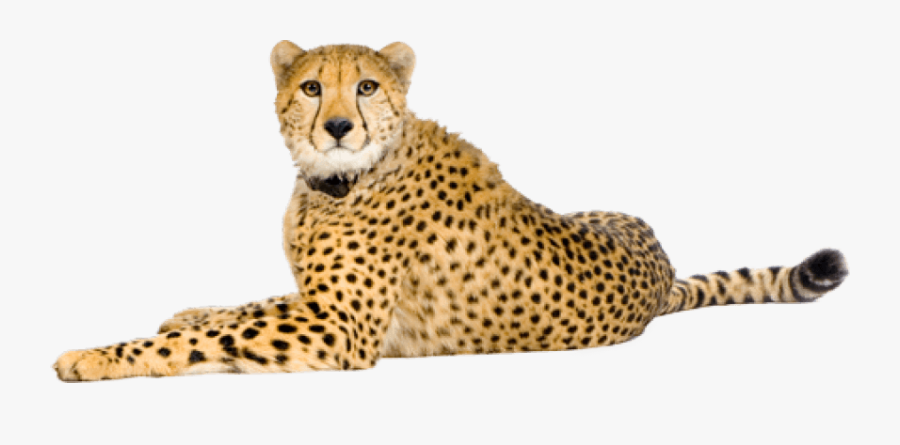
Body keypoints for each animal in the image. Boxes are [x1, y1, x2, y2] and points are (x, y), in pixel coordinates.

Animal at [53, 41, 848, 381]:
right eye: (311, 87)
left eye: (367, 86)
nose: (337, 125)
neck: (337, 181)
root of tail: (661, 266)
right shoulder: (317, 303)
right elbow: (243, 306)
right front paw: (188, 309)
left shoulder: (340, 329)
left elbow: (210, 339)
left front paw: (94, 354)